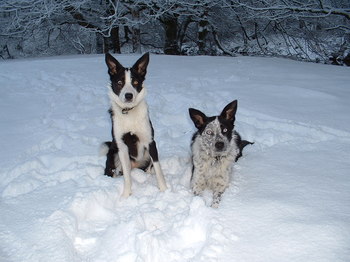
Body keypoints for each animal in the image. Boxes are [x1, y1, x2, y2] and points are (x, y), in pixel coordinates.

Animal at [102, 52, 167, 198]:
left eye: (135, 82)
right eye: (120, 82)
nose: (128, 95)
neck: (129, 112)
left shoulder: (150, 142)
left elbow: (158, 169)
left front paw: (165, 190)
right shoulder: (122, 146)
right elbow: (127, 176)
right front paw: (126, 195)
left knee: (149, 168)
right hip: (113, 153)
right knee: (113, 171)